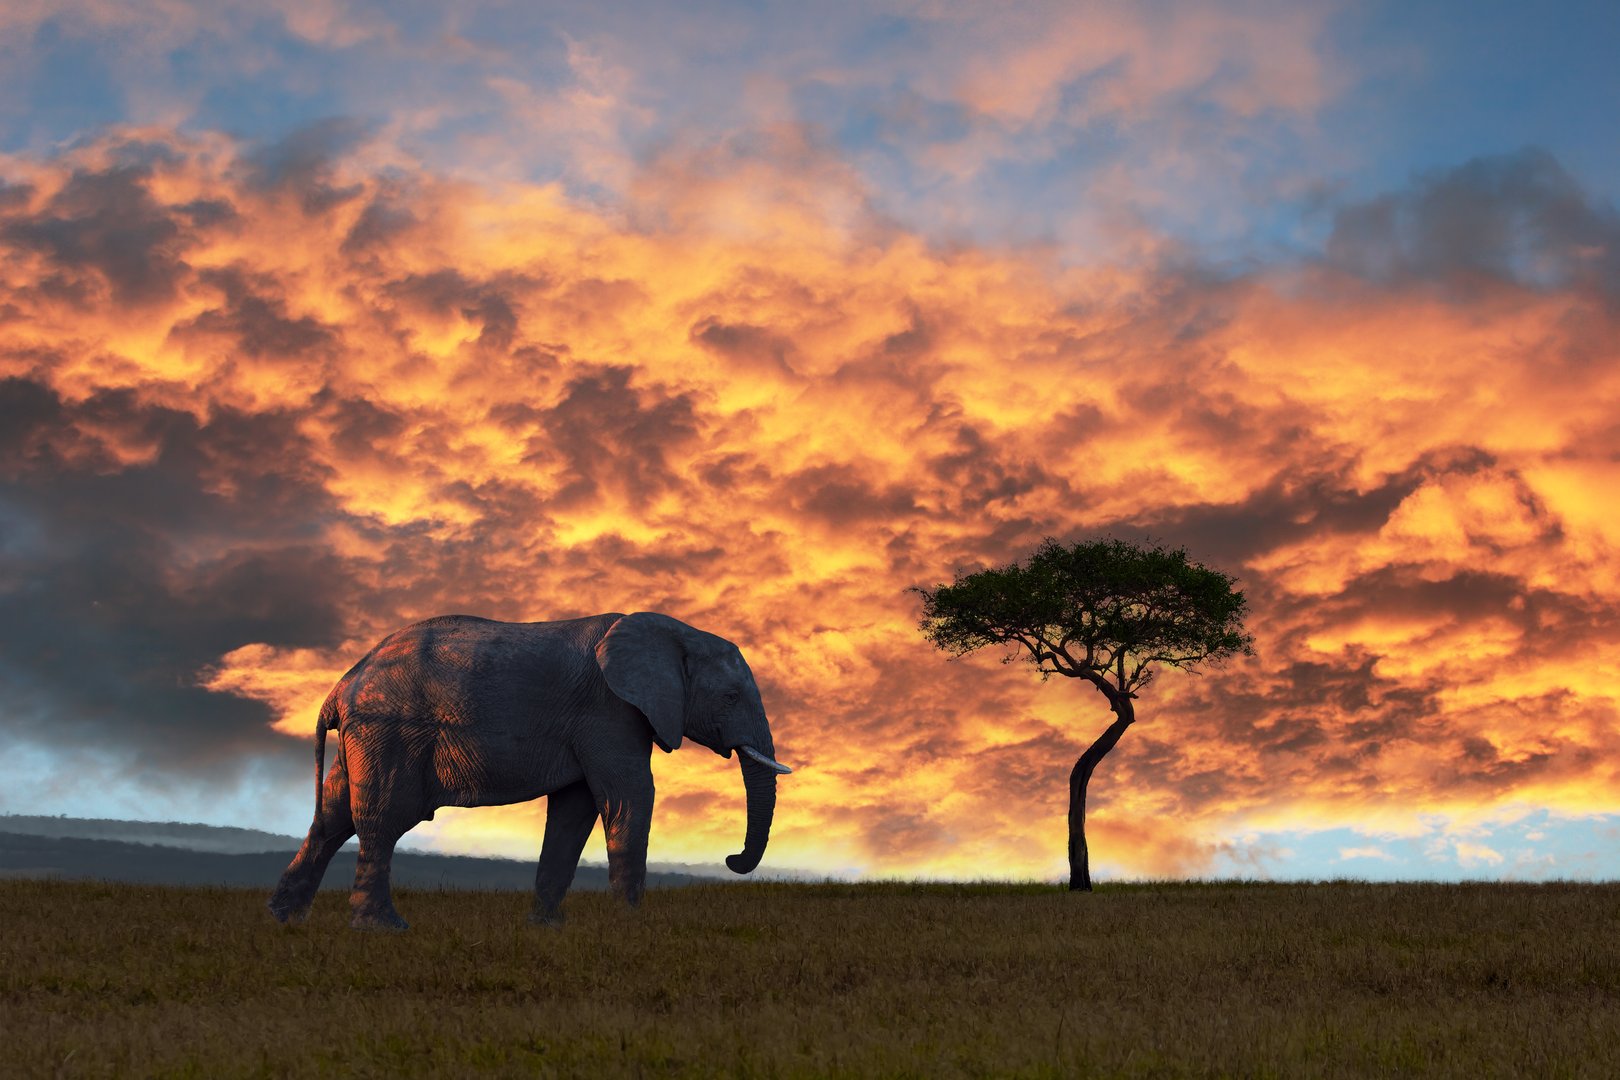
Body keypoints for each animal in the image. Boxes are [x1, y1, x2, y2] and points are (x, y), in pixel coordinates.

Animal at [267, 611, 791, 930]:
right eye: (731, 697)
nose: (731, 859)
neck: (673, 631)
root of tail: (342, 684)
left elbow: (574, 811)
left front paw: (546, 927)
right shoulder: (609, 711)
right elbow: (629, 796)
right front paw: (631, 924)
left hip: (364, 735)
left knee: (332, 818)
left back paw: (284, 919)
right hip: (387, 730)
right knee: (382, 818)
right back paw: (383, 928)